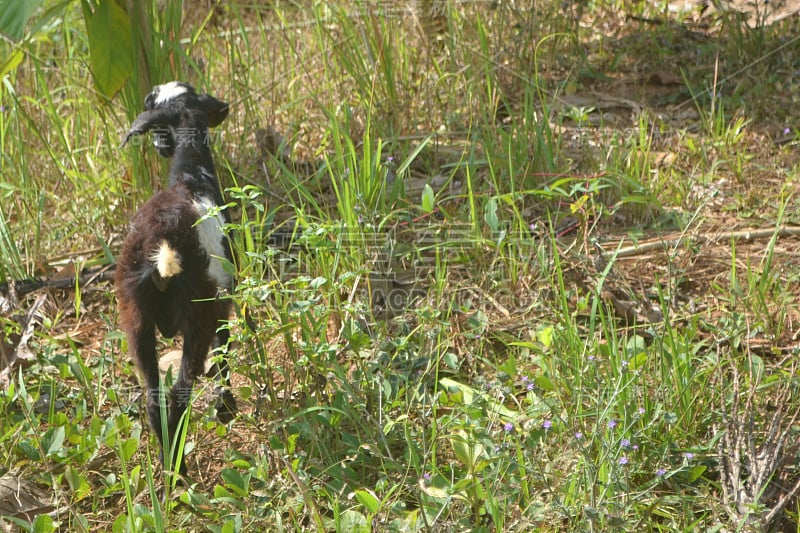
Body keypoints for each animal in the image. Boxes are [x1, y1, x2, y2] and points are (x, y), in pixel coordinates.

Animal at [115, 83, 238, 474]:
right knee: (178, 394)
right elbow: (225, 348)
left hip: (135, 319)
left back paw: (169, 464)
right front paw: (226, 405)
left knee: (154, 398)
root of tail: (162, 241)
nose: (158, 145)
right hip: (198, 312)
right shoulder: (224, 295)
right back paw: (179, 466)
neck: (190, 175)